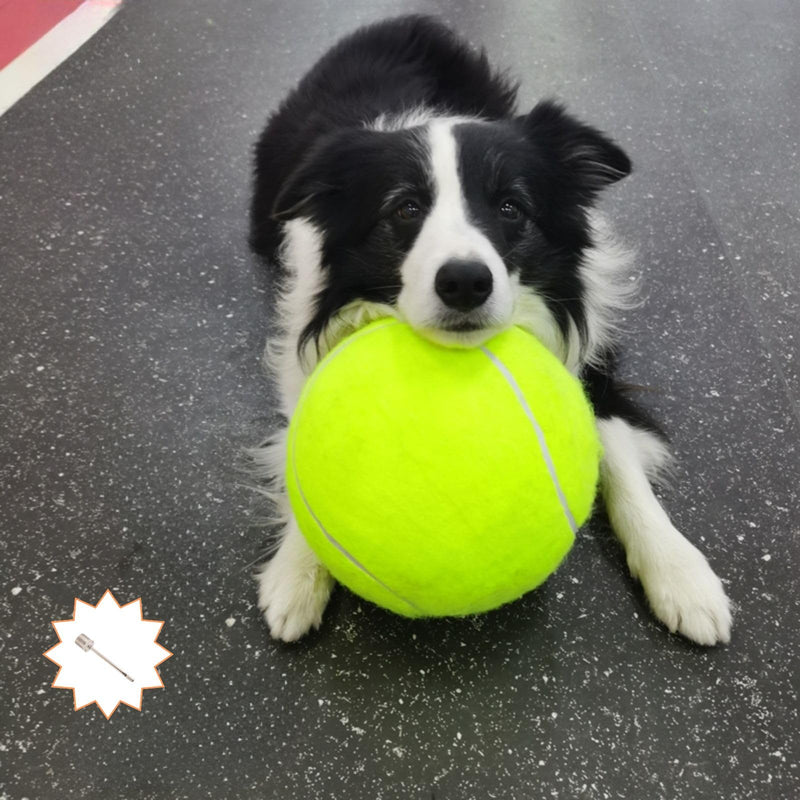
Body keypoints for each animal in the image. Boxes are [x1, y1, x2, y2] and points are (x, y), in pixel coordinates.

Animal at [248, 15, 732, 648]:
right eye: (404, 210)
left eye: (511, 208)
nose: (464, 283)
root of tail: (402, 22)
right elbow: (298, 451)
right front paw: (297, 571)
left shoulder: (592, 364)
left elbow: (621, 461)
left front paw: (681, 575)